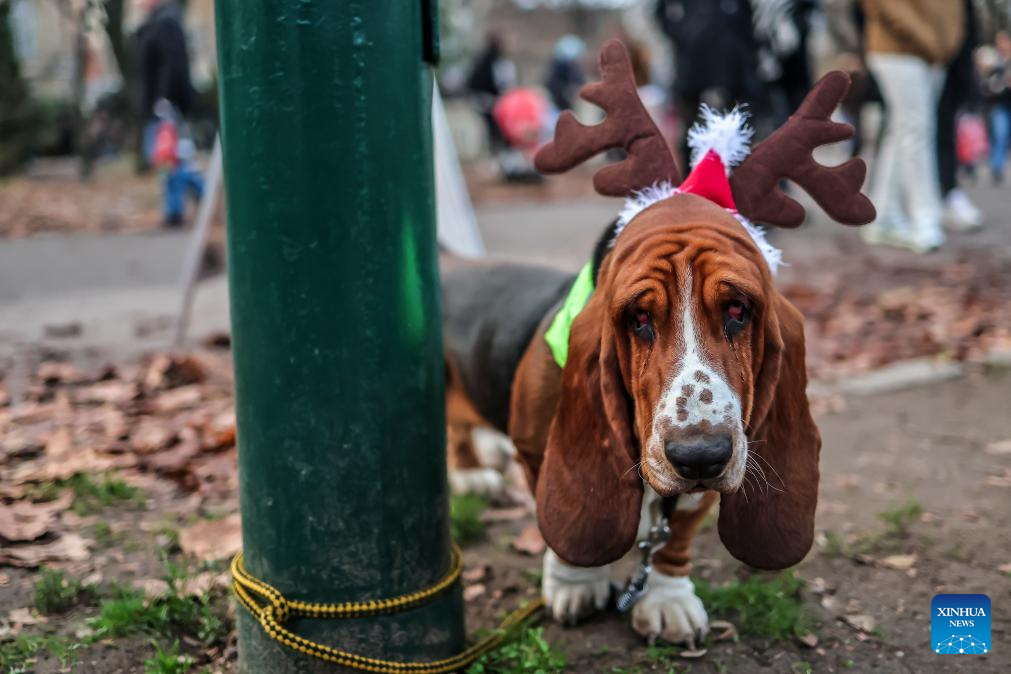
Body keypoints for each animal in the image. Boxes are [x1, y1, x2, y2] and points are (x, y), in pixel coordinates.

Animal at [442, 40, 874, 646]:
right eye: (639, 317)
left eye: (738, 310)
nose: (700, 454)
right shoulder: (537, 446)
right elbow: (559, 524)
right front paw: (575, 582)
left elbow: (679, 531)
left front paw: (666, 599)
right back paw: (472, 472)